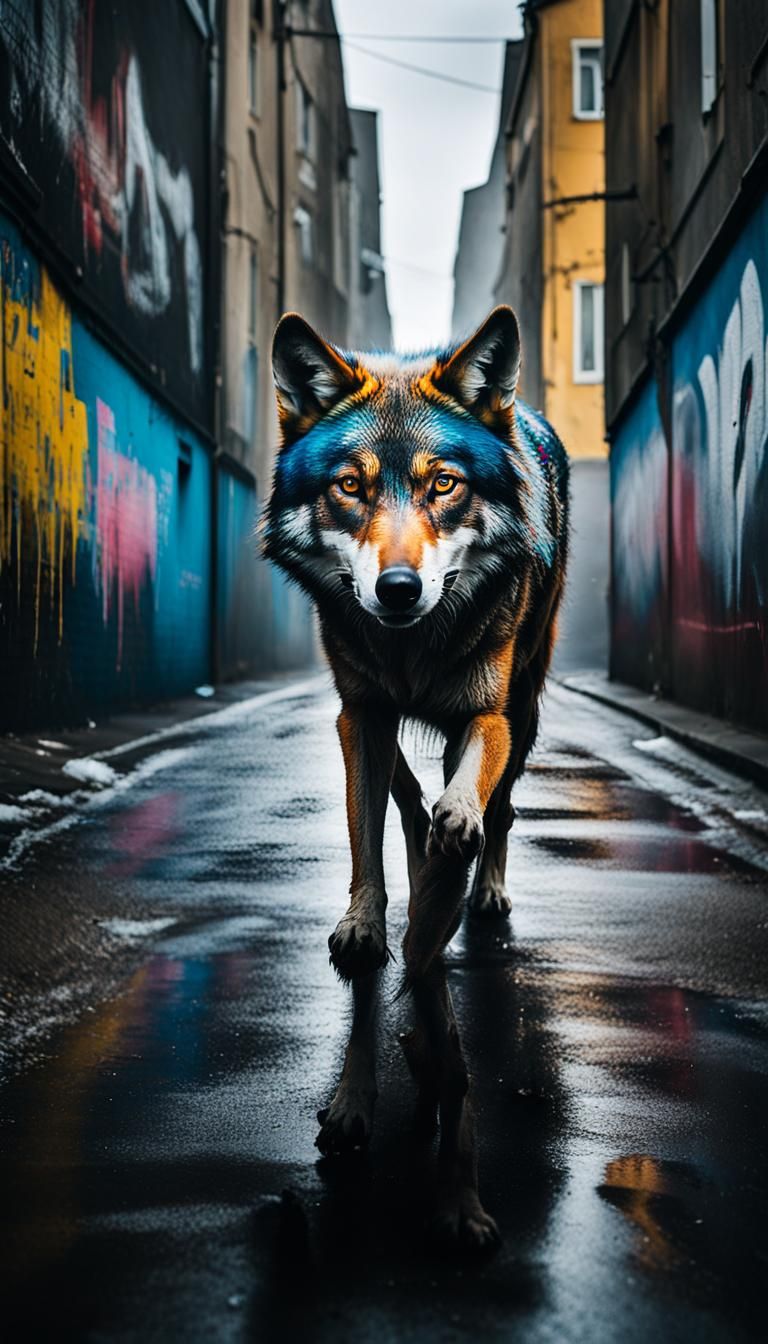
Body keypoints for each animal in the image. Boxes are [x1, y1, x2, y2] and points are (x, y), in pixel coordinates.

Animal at [264, 306, 568, 1249]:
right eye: (350, 487)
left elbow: (468, 800)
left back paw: (483, 883)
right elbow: (368, 837)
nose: (398, 589)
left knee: (500, 814)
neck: (412, 651)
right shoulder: (358, 712)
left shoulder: (488, 713)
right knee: (403, 802)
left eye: (442, 485)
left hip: (529, 702)